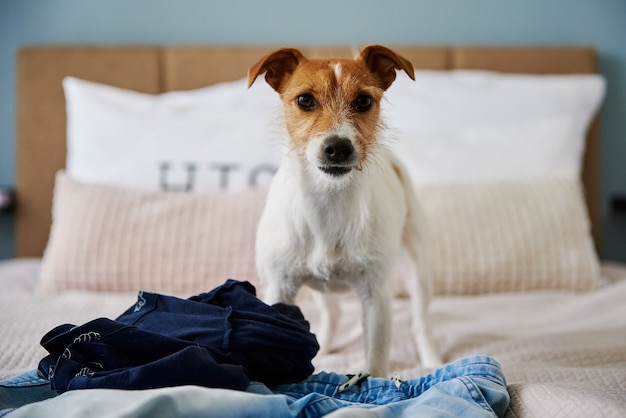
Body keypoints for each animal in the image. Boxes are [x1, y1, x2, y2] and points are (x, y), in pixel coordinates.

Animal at [246, 45, 442, 376]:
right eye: (305, 100)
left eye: (363, 101)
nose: (338, 147)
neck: (329, 201)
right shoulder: (279, 288)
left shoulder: (376, 298)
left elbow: (375, 360)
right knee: (333, 312)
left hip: (419, 267)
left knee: (420, 322)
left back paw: (431, 358)